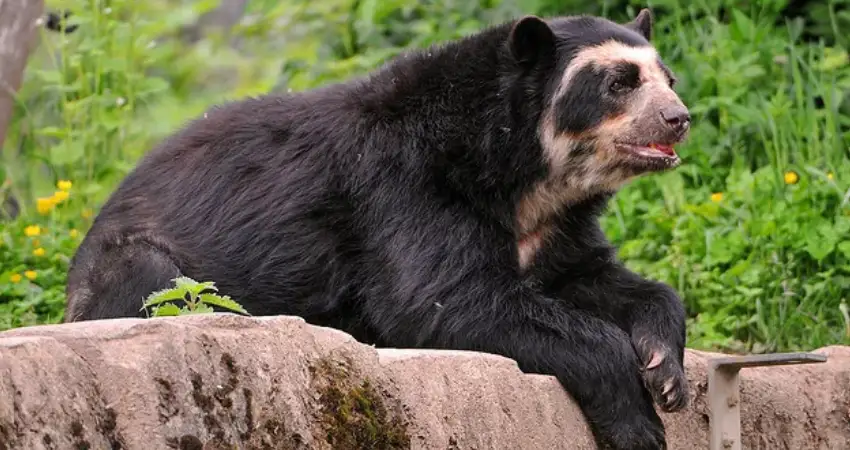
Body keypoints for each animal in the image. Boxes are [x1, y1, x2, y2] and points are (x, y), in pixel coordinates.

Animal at [64, 7, 688, 450]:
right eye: (619, 82)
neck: (525, 174)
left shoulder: (555, 227)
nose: (678, 119)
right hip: (131, 265)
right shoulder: (406, 185)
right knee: (151, 279)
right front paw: (638, 424)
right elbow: (444, 299)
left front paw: (666, 371)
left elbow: (596, 278)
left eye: (669, 78)